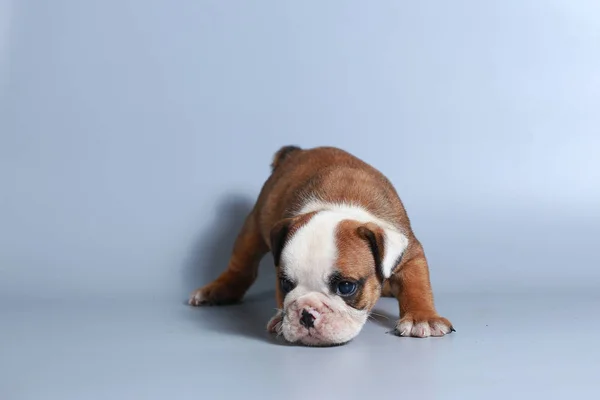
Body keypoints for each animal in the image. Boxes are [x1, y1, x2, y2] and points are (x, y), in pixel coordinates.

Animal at [190, 145, 452, 346]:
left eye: (346, 287)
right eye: (285, 284)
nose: (306, 313)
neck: (339, 206)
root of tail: (296, 152)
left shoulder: (410, 253)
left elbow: (416, 287)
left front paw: (422, 318)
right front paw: (280, 320)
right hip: (254, 226)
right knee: (242, 265)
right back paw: (217, 290)